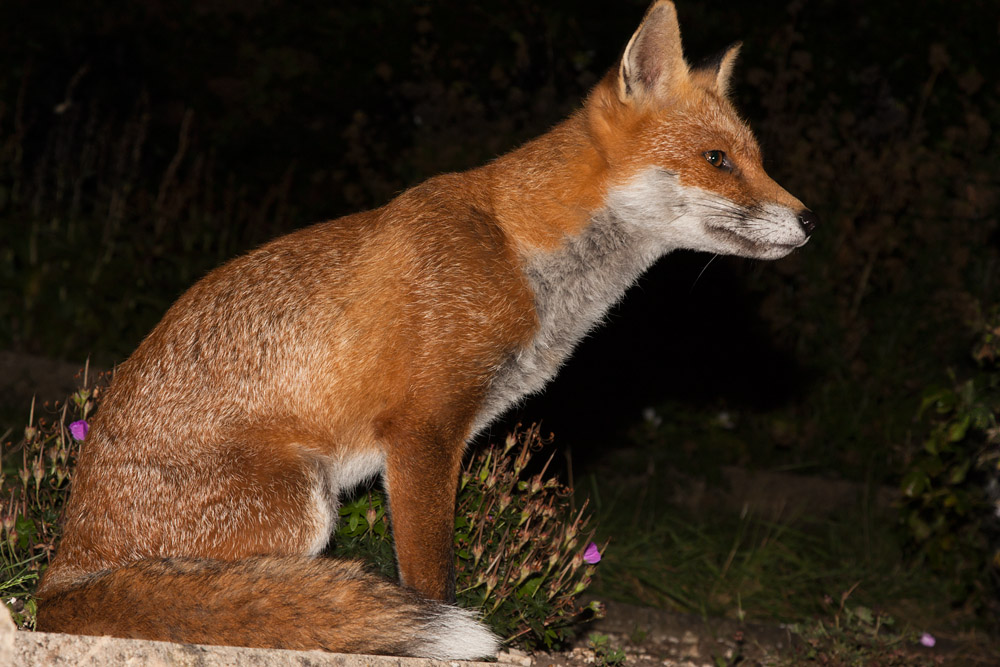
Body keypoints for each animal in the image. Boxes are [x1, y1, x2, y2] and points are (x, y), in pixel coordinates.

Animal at [36, 0, 816, 660]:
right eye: (717, 159)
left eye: (758, 158)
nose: (810, 220)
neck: (524, 256)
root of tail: (60, 576)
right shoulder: (422, 429)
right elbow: (431, 577)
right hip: (302, 504)